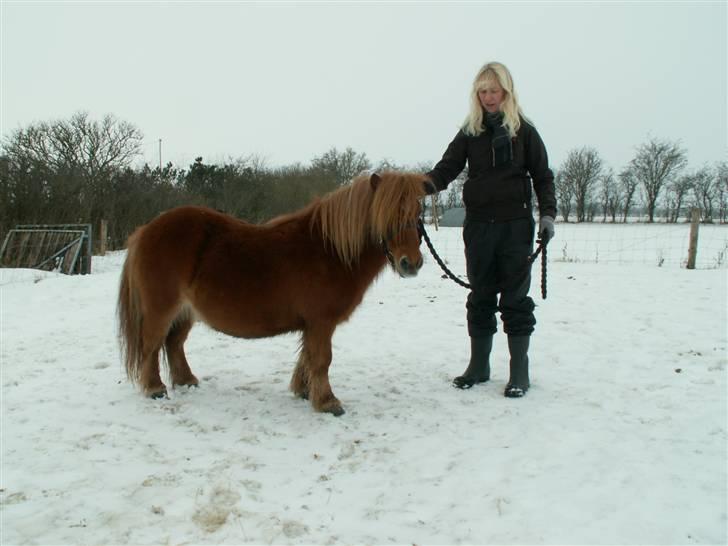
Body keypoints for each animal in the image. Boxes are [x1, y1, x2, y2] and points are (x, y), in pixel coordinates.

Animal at [118, 172, 432, 414]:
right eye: (388, 214)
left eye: (417, 214)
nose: (411, 263)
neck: (331, 250)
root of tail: (146, 230)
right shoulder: (321, 322)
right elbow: (322, 360)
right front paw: (328, 403)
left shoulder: (313, 325)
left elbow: (307, 357)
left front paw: (304, 391)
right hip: (161, 309)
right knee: (152, 344)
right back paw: (155, 389)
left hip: (186, 312)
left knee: (174, 343)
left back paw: (186, 381)